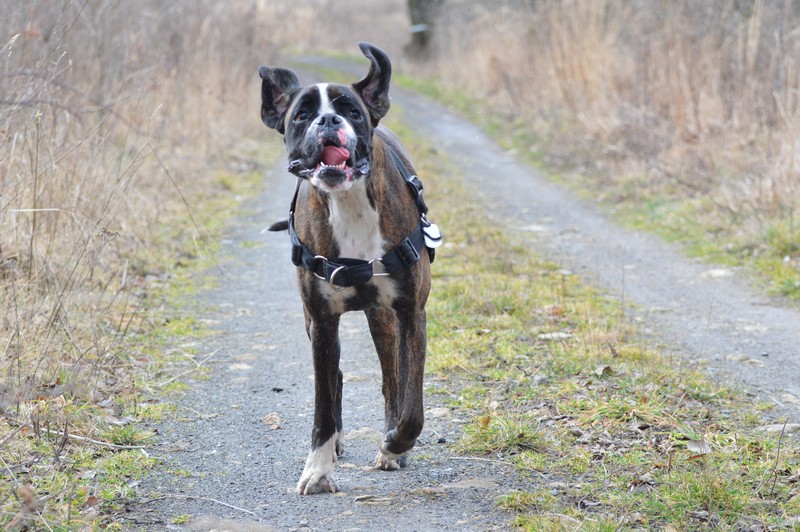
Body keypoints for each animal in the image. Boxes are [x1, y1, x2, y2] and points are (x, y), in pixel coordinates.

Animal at [259, 43, 441, 495]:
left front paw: (394, 445)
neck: (350, 202)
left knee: (391, 380)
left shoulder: (410, 314)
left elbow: (411, 405)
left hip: (383, 320)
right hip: (315, 323)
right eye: (302, 115)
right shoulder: (323, 321)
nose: (328, 120)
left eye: (352, 111)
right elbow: (323, 403)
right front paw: (318, 468)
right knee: (337, 377)